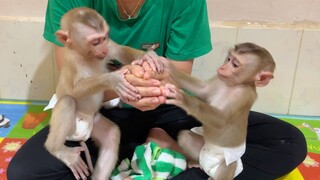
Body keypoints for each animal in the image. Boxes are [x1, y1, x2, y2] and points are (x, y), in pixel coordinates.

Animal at [43, 7, 158, 180]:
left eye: (104, 38)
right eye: (95, 42)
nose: (103, 49)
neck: (86, 56)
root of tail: (81, 135)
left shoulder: (108, 47)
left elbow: (119, 50)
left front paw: (147, 56)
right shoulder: (73, 62)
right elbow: (76, 90)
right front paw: (113, 79)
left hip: (93, 121)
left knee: (112, 135)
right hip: (71, 127)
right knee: (67, 101)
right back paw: (57, 149)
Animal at [164, 43, 276, 179]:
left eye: (235, 64)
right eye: (228, 59)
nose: (223, 68)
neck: (231, 85)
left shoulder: (242, 95)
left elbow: (220, 120)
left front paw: (183, 98)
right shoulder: (220, 79)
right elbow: (202, 89)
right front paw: (165, 64)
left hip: (227, 164)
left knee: (227, 168)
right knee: (185, 137)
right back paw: (195, 163)